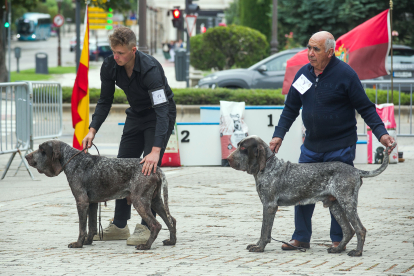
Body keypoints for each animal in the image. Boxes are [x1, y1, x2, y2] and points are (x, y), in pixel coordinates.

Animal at [24, 140, 176, 250]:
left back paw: (146, 246)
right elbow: (92, 227)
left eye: (42, 150)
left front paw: (78, 244)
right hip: (155, 201)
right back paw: (171, 241)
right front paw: (88, 241)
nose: (26, 156)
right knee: (171, 220)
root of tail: (156, 168)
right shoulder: (92, 203)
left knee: (156, 225)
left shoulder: (81, 201)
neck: (73, 161)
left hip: (139, 201)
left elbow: (82, 228)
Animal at [228, 135, 392, 256]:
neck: (268, 167)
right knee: (348, 230)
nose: (228, 159)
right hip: (335, 206)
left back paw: (357, 252)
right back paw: (337, 249)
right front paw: (257, 244)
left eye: (243, 148)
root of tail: (356, 170)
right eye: (238, 145)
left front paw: (260, 247)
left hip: (347, 203)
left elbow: (264, 230)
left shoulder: (269, 206)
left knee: (359, 229)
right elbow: (263, 230)